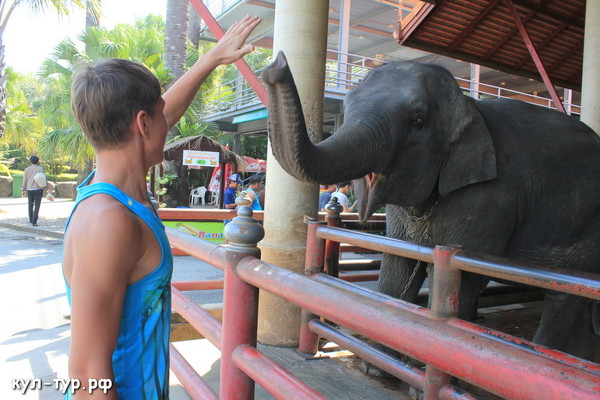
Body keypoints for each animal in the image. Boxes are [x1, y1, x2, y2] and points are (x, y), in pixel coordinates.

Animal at [264, 50, 600, 360]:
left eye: (418, 121)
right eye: (345, 109)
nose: (275, 63)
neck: (469, 107)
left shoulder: (491, 197)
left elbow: (462, 278)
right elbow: (397, 266)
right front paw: (378, 364)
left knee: (563, 295)